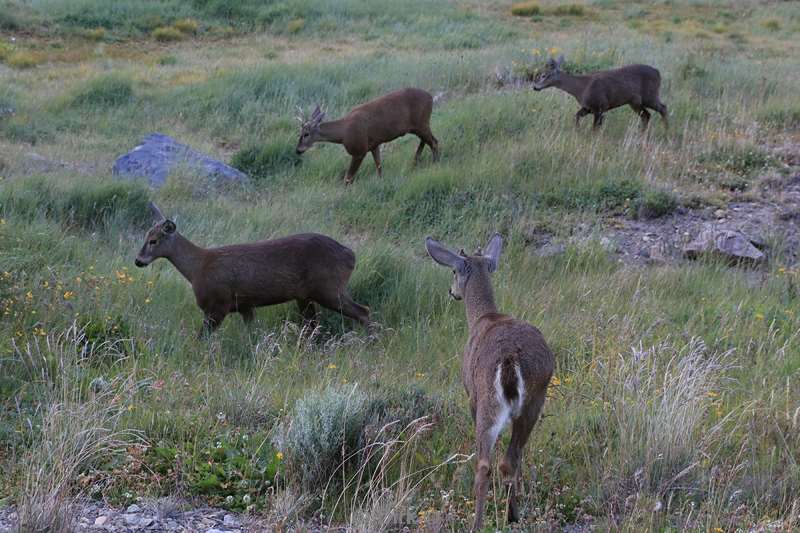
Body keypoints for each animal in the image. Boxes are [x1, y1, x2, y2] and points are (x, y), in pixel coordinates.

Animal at [135, 204, 372, 336]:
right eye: (145, 236)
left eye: (154, 240)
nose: (138, 260)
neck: (197, 269)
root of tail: (350, 255)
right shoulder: (245, 306)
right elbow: (251, 334)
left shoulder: (219, 304)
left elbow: (201, 338)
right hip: (307, 296)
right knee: (313, 324)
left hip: (328, 288)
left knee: (363, 311)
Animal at [296, 88, 440, 185]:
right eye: (300, 132)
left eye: (306, 134)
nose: (297, 150)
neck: (343, 134)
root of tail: (431, 98)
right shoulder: (373, 145)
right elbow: (379, 167)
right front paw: (381, 182)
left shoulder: (359, 150)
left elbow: (348, 178)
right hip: (419, 125)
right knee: (426, 140)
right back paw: (416, 161)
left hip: (421, 123)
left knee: (434, 141)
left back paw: (435, 163)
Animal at [424, 233, 556, 528]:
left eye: (453, 271)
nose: (452, 292)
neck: (483, 317)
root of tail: (509, 359)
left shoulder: (470, 395)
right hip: (534, 400)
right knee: (511, 459)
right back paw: (513, 514)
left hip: (487, 400)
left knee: (485, 464)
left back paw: (478, 523)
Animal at [536, 54, 672, 131]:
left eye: (543, 75)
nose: (535, 87)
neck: (580, 88)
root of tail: (658, 72)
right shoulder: (588, 107)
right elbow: (576, 116)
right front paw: (577, 130)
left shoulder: (599, 106)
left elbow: (595, 128)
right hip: (635, 102)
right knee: (646, 115)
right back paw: (643, 133)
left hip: (650, 95)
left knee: (663, 108)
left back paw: (666, 131)